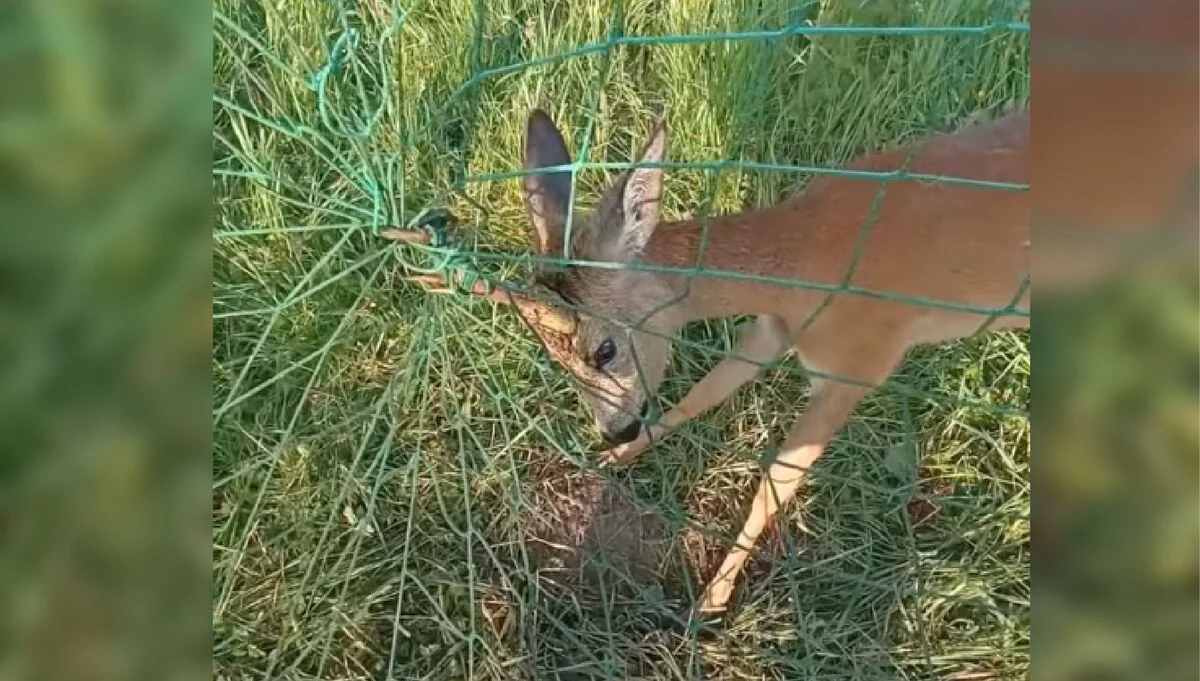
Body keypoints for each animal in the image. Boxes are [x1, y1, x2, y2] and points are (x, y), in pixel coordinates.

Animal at [386, 104, 1032, 618]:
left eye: (604, 348)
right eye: (550, 354)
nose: (613, 429)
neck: (806, 261)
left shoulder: (858, 361)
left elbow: (777, 480)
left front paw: (711, 601)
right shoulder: (772, 329)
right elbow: (704, 392)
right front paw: (619, 460)